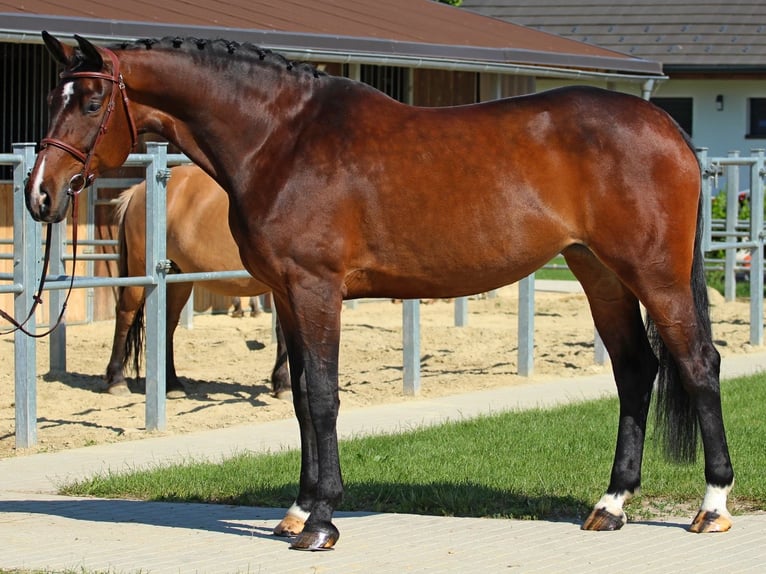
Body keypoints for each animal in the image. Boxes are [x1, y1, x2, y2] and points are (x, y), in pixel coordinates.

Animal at [105, 164, 290, 399]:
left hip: (178, 280)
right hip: (141, 276)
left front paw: (283, 383)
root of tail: (137, 191)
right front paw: (284, 384)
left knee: (168, 324)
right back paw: (116, 381)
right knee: (125, 315)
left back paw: (172, 384)